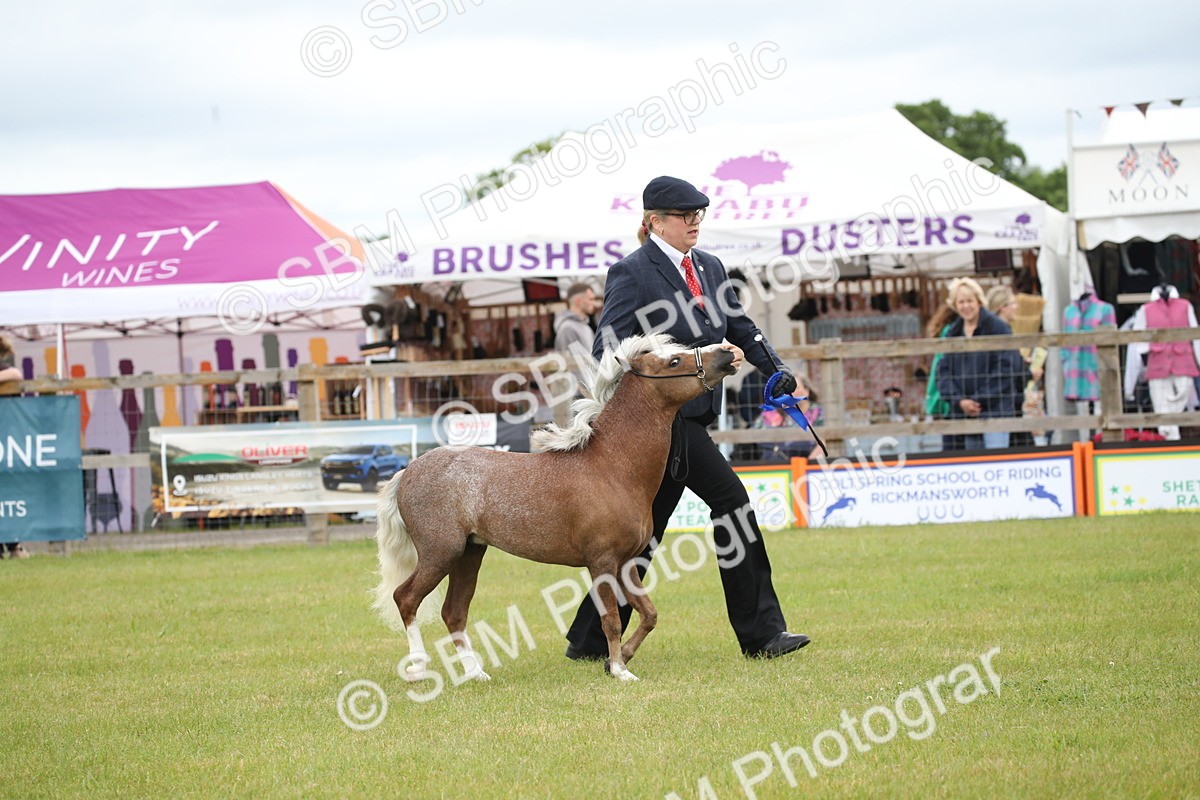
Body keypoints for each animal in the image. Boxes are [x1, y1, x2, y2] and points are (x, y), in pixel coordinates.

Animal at [373, 334, 738, 682]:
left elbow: (649, 613)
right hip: (440, 553)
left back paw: (476, 673)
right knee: (406, 598)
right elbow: (611, 620)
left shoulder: (626, 562)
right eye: (674, 361)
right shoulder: (602, 562)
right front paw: (620, 671)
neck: (613, 467)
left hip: (469, 554)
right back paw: (419, 668)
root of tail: (408, 471)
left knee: (453, 612)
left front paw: (619, 659)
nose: (727, 354)